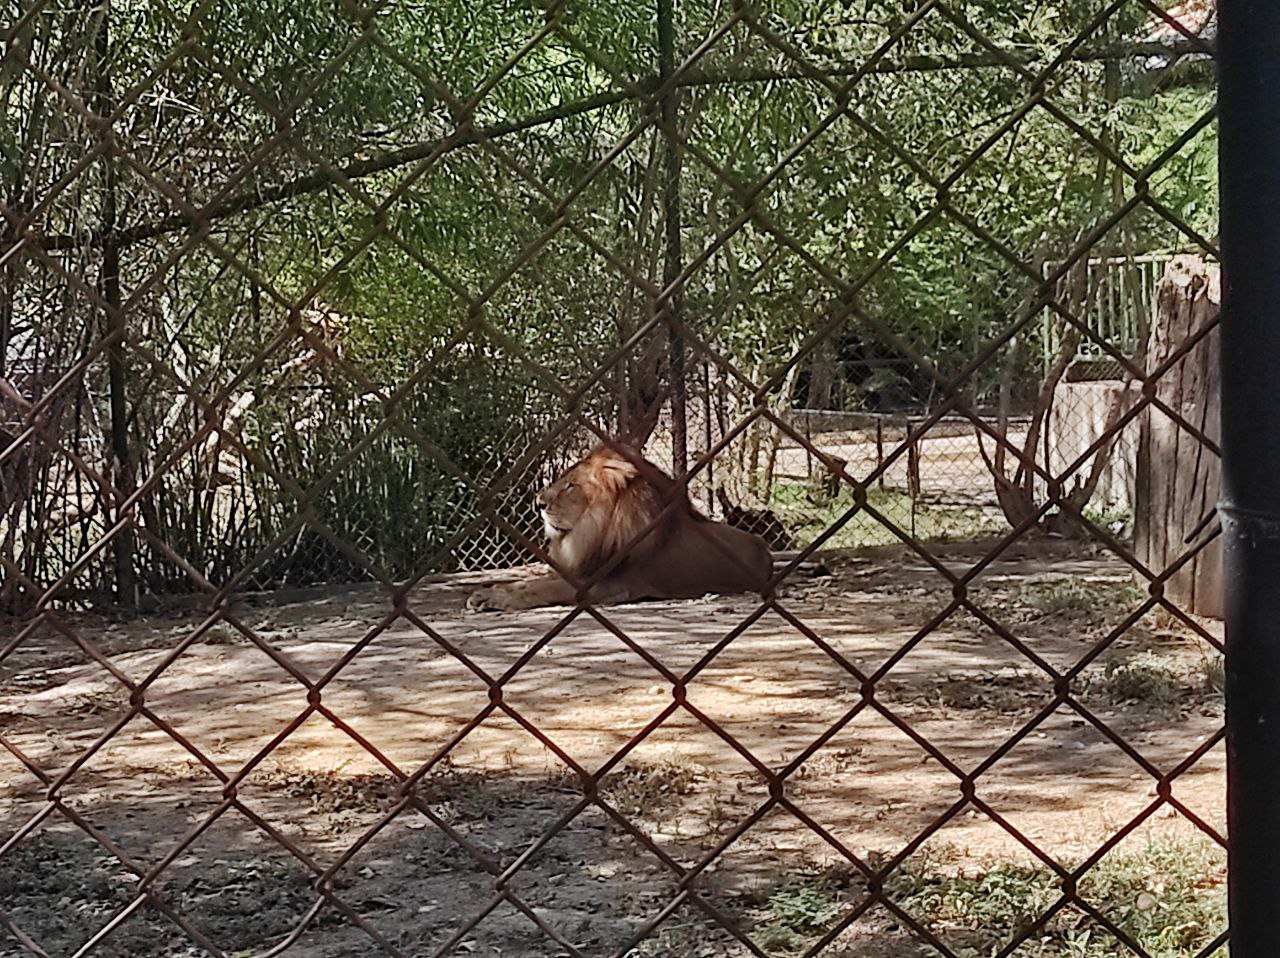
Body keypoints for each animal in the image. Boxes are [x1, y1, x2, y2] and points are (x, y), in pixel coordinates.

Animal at [468, 443, 773, 609]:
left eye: (571, 485)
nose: (538, 503)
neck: (592, 530)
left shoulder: (609, 585)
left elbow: (545, 588)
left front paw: (499, 600)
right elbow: (529, 581)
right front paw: (485, 594)